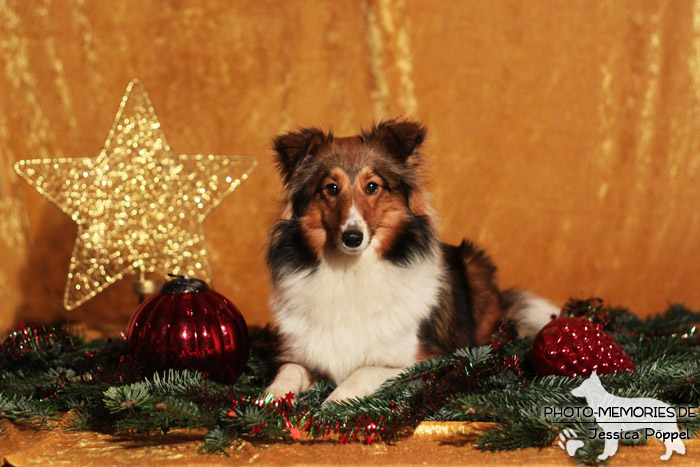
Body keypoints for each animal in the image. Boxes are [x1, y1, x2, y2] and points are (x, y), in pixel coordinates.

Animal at [266, 119, 556, 402]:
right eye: (331, 188)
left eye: (372, 186)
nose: (352, 237)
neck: (351, 269)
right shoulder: (302, 354)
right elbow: (288, 371)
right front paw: (270, 398)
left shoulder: (424, 361)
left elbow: (362, 372)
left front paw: (331, 403)